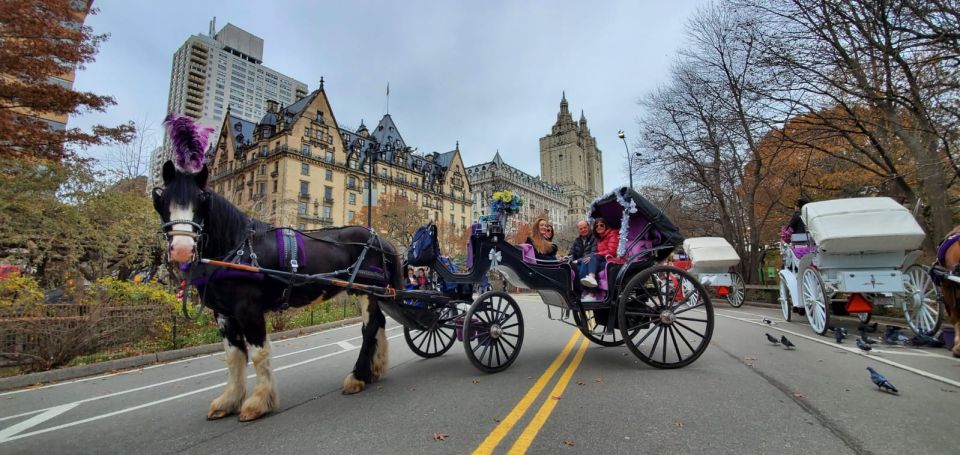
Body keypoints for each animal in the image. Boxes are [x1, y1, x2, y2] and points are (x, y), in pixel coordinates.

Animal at [154, 162, 402, 422]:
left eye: (201, 199)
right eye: (162, 199)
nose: (182, 248)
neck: (237, 248)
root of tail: (383, 239)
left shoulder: (248, 308)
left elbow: (258, 354)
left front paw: (258, 402)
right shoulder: (223, 313)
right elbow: (234, 356)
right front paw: (229, 400)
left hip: (368, 290)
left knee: (370, 327)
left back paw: (358, 376)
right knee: (378, 324)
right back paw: (374, 369)